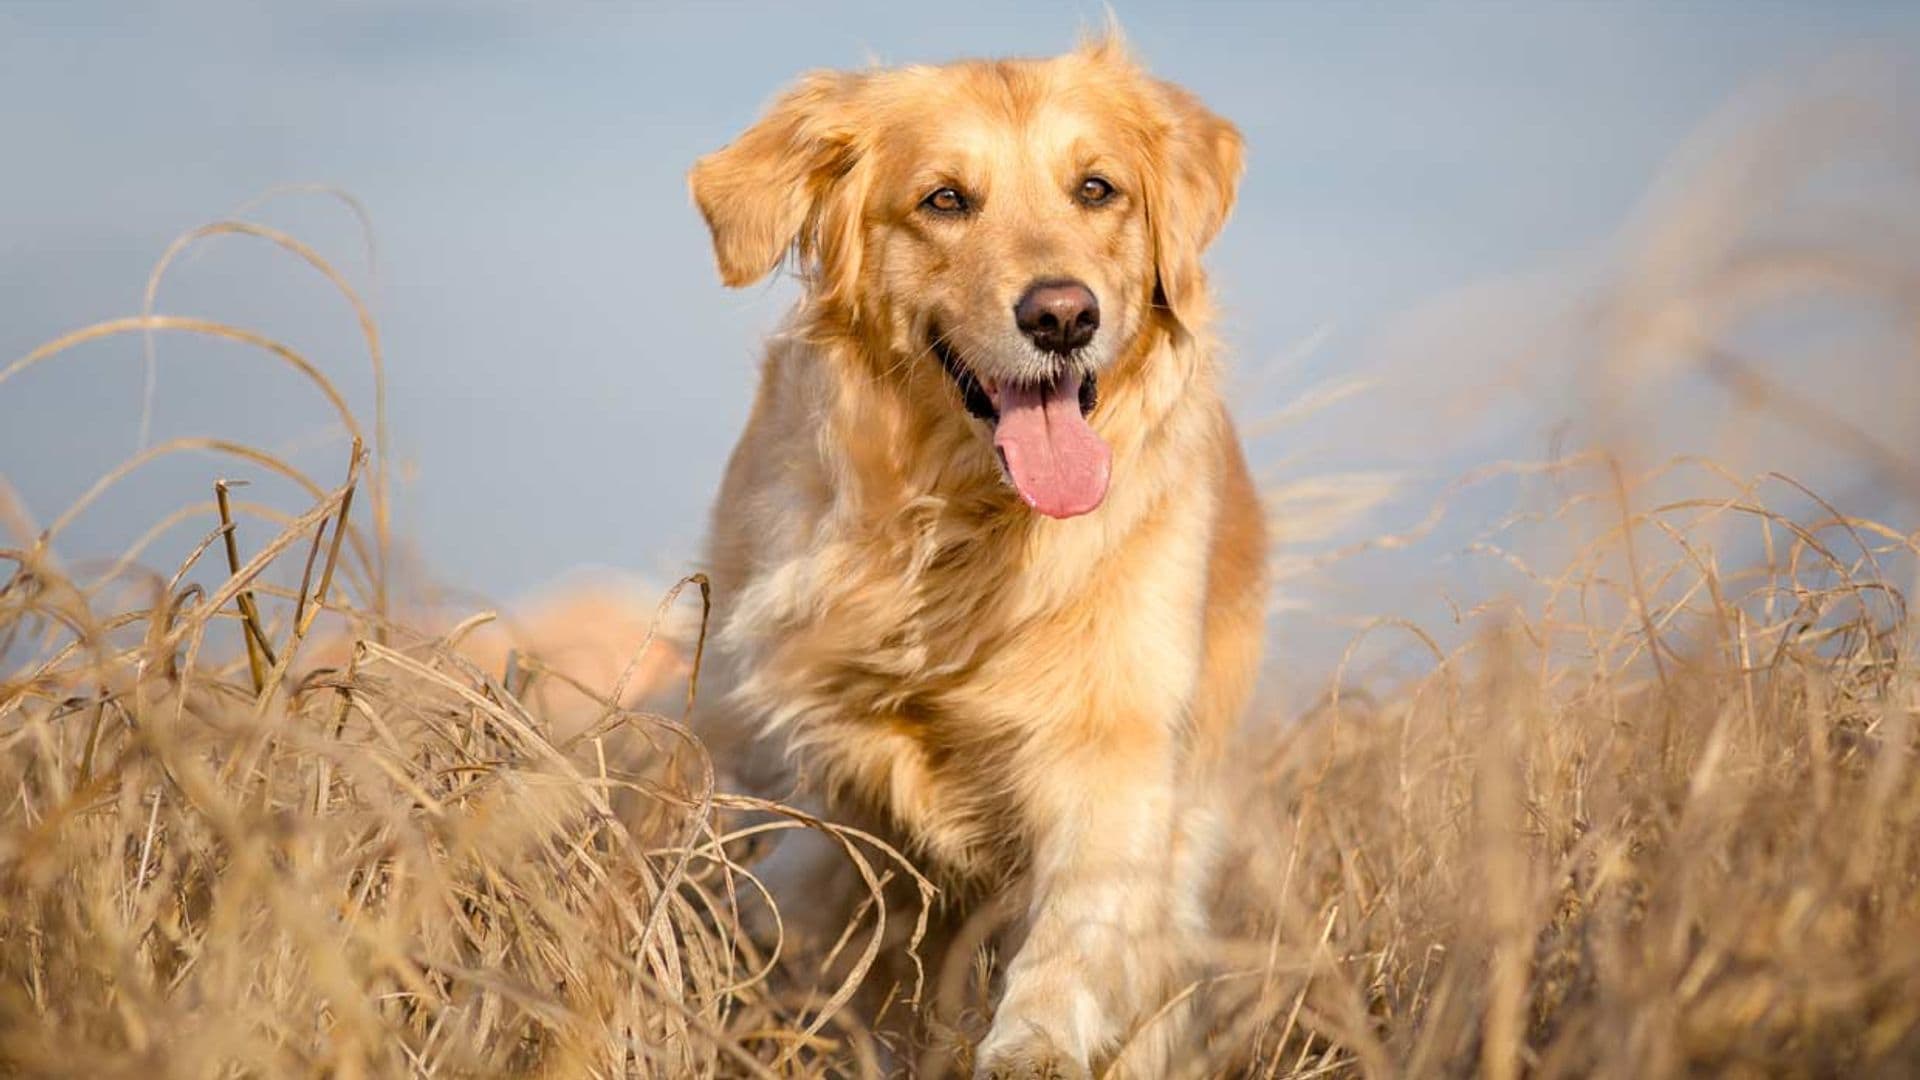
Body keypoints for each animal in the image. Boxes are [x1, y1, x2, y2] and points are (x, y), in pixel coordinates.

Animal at [687, 35, 1259, 1076]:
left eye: (1097, 188)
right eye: (945, 199)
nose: (1063, 316)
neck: (966, 525)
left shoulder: (1118, 737)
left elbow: (1079, 922)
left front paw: (1033, 1041)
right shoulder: (806, 739)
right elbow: (814, 880)